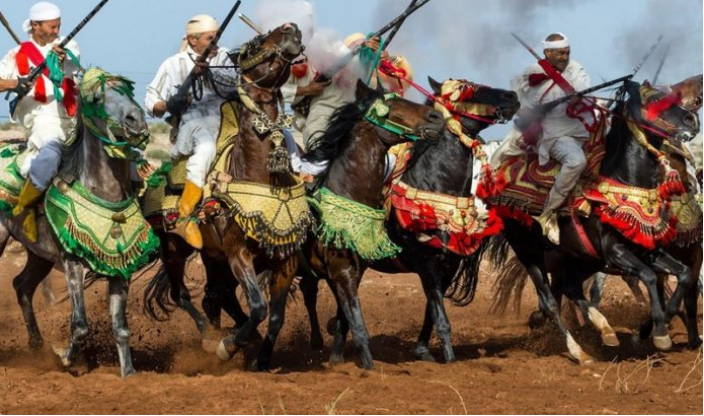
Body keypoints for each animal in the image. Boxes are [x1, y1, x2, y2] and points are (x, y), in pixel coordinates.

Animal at [0, 68, 153, 376]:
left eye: (127, 91)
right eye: (97, 99)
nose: (136, 119)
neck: (102, 190)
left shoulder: (120, 268)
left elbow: (121, 328)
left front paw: (129, 374)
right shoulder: (73, 264)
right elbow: (80, 325)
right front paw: (66, 358)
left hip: (39, 255)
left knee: (22, 285)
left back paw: (37, 345)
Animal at [486, 79, 700, 364]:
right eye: (654, 99)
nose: (692, 119)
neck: (623, 181)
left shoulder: (647, 250)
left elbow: (683, 276)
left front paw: (653, 330)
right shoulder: (615, 252)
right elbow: (648, 276)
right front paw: (659, 333)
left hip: (580, 260)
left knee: (571, 288)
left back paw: (605, 329)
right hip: (530, 254)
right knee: (551, 301)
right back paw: (579, 352)